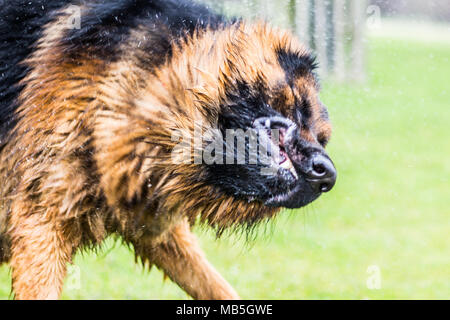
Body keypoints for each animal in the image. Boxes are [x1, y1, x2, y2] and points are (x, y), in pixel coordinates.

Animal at [0, 0, 334, 300]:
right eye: (299, 109)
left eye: (323, 139)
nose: (328, 176)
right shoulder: (41, 220)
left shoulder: (153, 226)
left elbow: (215, 285)